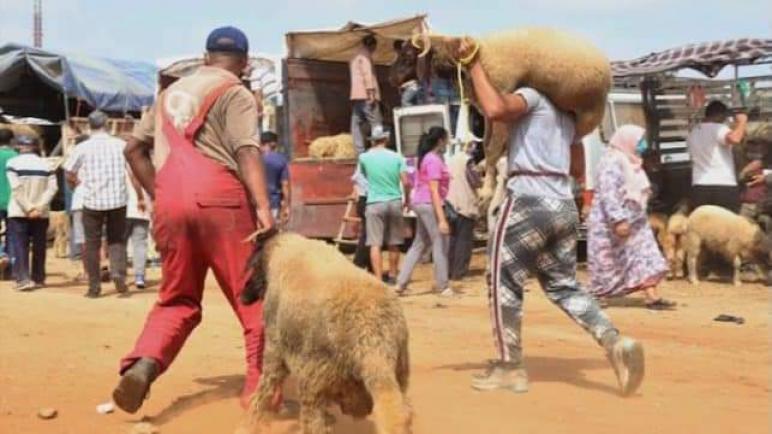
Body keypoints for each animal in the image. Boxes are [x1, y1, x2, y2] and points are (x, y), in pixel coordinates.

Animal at [240, 232, 414, 432]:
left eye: (252, 267)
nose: (241, 296)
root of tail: (373, 338)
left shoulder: (275, 350)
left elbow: (265, 391)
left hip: (313, 379)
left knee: (311, 423)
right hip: (398, 376)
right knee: (402, 413)